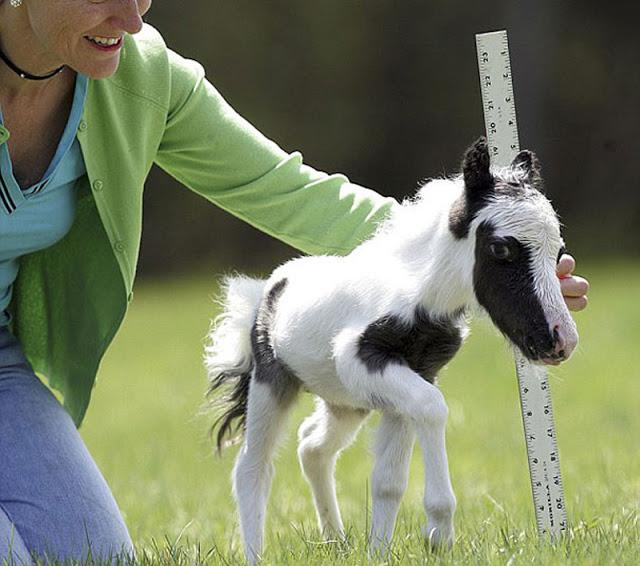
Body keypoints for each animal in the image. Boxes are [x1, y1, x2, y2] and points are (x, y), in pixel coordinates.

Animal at [206, 138, 580, 564]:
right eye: (501, 249)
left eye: (558, 252)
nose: (562, 340)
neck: (420, 295)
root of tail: (267, 289)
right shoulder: (362, 360)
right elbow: (433, 408)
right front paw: (439, 532)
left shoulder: (412, 376)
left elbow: (388, 480)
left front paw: (380, 552)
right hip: (273, 384)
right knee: (253, 465)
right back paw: (257, 552)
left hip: (346, 402)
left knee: (312, 446)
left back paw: (335, 541)